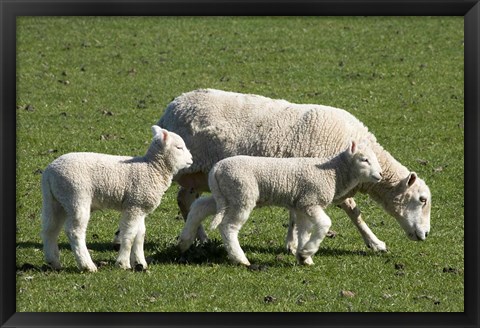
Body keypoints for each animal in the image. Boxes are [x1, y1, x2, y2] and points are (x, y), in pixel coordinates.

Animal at [40, 125, 192, 272]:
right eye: (179, 147)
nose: (191, 159)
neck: (152, 168)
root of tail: (49, 172)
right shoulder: (134, 205)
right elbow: (129, 234)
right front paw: (123, 263)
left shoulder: (140, 206)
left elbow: (140, 235)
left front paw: (140, 263)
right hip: (76, 196)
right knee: (74, 231)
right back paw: (87, 265)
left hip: (55, 200)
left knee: (50, 229)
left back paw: (53, 262)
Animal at [155, 88, 432, 252]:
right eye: (422, 199)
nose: (426, 234)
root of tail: (174, 104)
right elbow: (355, 212)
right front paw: (375, 243)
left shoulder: (298, 179)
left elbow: (295, 212)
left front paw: (291, 242)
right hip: (185, 166)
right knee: (181, 197)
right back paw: (198, 237)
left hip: (198, 175)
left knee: (186, 199)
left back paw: (199, 237)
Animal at [178, 141, 384, 266]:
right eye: (365, 160)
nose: (380, 175)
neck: (333, 173)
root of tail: (217, 169)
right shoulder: (311, 200)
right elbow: (325, 224)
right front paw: (308, 251)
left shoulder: (302, 205)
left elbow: (303, 231)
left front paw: (303, 257)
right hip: (241, 194)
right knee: (228, 226)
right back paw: (240, 259)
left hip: (226, 195)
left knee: (199, 207)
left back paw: (184, 241)